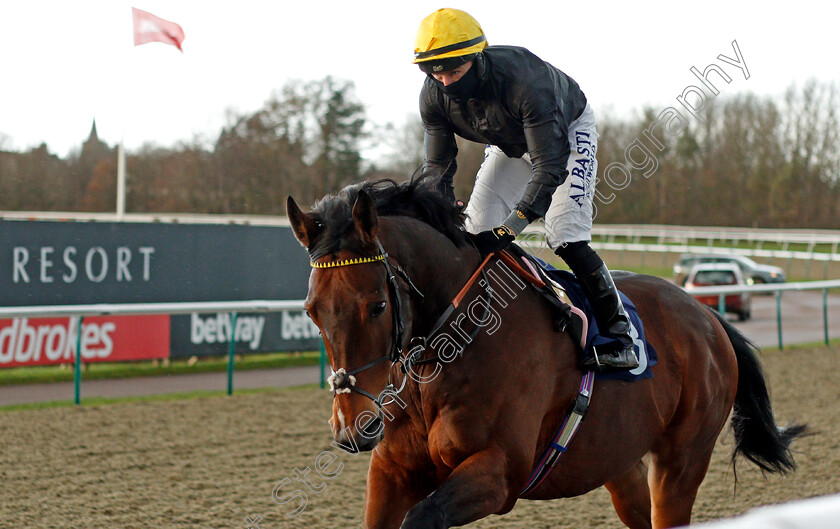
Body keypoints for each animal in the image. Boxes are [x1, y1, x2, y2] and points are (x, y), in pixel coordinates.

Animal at [286, 178, 804, 528]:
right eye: (311, 310)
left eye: (376, 305)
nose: (352, 427)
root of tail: (708, 318)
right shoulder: (392, 470)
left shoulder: (499, 473)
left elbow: (424, 516)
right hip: (619, 462)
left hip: (682, 462)